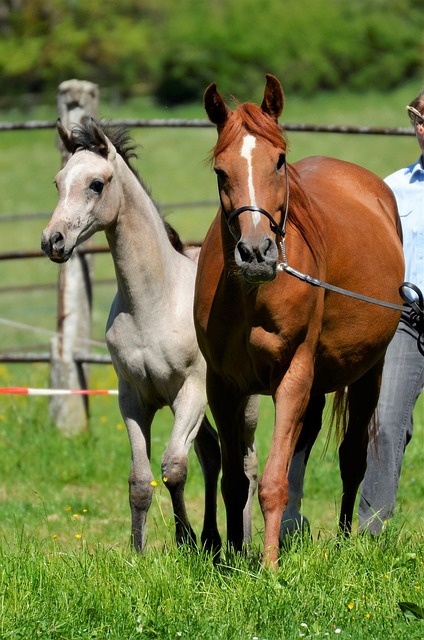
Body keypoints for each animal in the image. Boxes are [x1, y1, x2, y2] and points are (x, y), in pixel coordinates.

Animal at [41, 120, 222, 556]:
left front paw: (185, 541)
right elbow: (140, 479)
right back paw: (213, 537)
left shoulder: (191, 390)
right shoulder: (132, 397)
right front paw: (139, 553)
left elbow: (173, 468)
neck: (153, 303)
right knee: (213, 452)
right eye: (58, 182)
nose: (52, 241)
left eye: (96, 184)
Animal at [194, 74, 406, 564]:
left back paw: (345, 539)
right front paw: (236, 557)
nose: (256, 253)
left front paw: (270, 567)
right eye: (220, 172)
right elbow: (236, 482)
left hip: (369, 372)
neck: (251, 298)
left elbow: (272, 482)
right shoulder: (223, 386)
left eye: (279, 161)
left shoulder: (293, 375)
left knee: (352, 459)